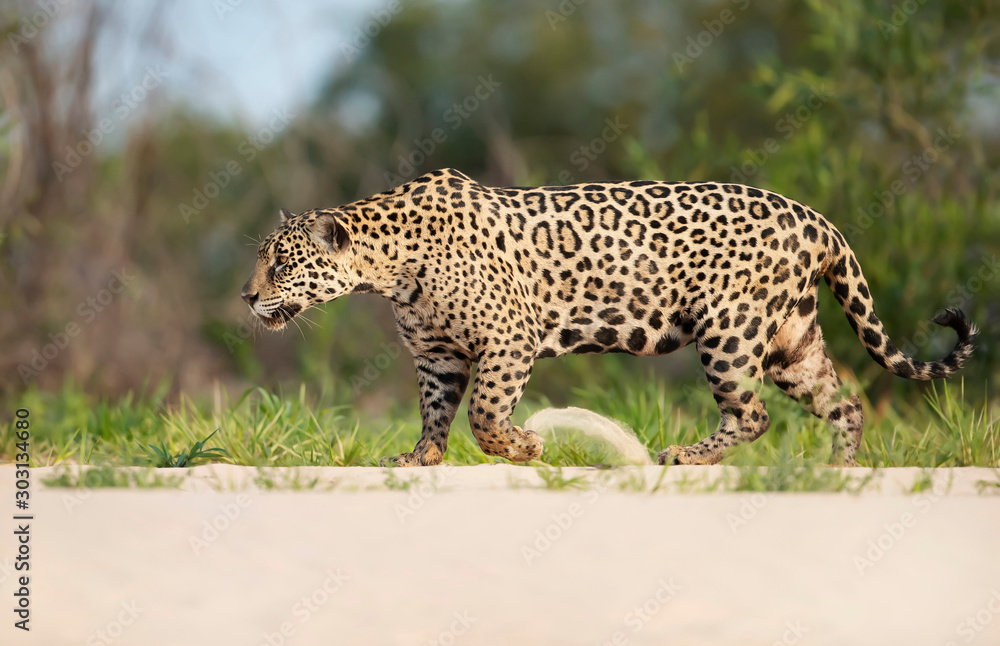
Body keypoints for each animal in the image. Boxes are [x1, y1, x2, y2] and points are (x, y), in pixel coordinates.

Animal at [241, 168, 977, 467]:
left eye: (278, 265)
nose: (246, 298)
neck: (386, 265)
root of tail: (816, 218)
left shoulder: (509, 339)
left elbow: (483, 414)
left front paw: (526, 447)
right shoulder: (437, 355)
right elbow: (435, 410)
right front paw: (420, 458)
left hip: (730, 330)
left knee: (754, 414)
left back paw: (685, 455)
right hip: (790, 341)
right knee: (843, 400)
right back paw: (841, 470)